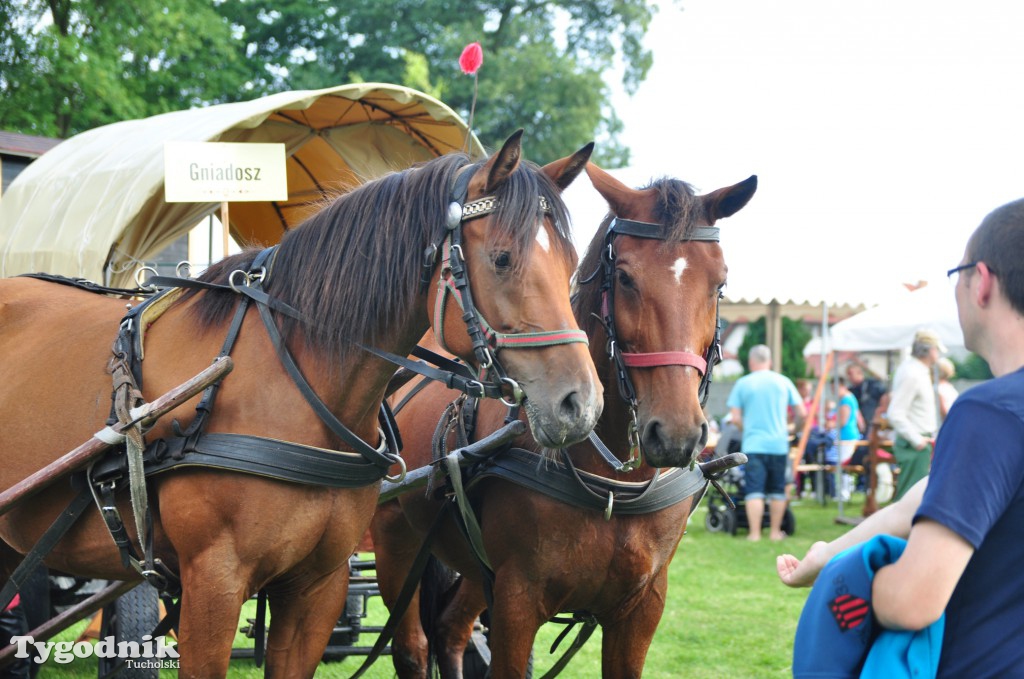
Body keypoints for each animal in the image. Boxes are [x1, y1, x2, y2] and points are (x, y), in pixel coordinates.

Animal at [0, 133, 598, 679]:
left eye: (573, 265)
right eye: (501, 258)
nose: (582, 404)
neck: (290, 383)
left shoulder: (317, 587)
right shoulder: (212, 582)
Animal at [372, 161, 757, 675]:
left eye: (720, 284)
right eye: (625, 277)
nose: (676, 432)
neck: (615, 485)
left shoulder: (642, 607)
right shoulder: (517, 599)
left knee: (451, 630)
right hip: (395, 541)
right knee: (413, 649)